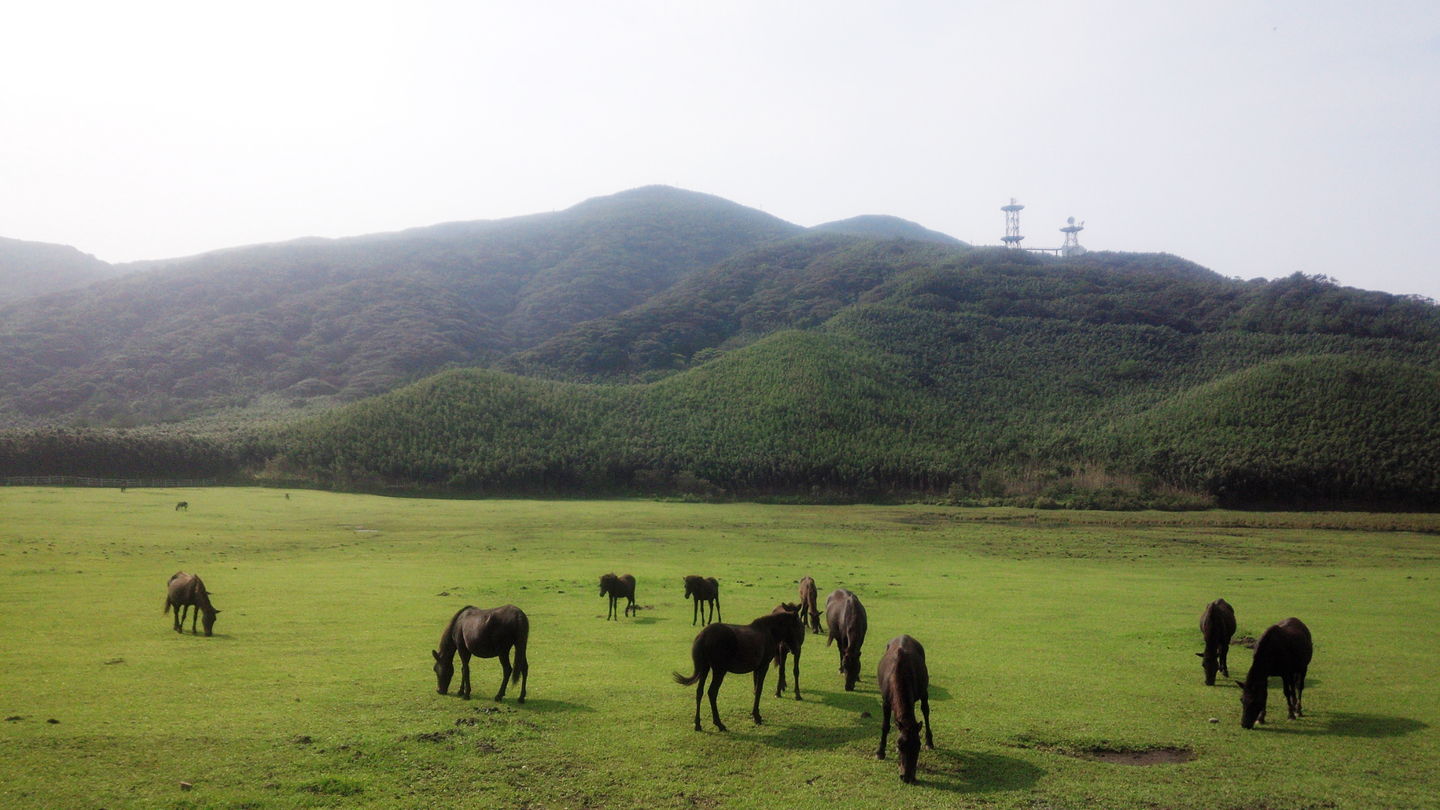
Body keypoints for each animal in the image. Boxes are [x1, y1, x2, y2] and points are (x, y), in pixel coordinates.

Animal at [673, 608, 812, 729]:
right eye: (798, 627)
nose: (796, 649)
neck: (768, 631)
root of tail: (704, 635)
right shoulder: (763, 666)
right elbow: (759, 689)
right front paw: (757, 717)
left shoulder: (756, 668)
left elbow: (756, 689)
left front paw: (755, 714)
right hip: (719, 671)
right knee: (712, 693)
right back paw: (719, 724)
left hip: (705, 668)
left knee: (699, 692)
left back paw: (698, 724)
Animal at [869, 634, 938, 778]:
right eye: (901, 745)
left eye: (917, 746)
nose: (907, 776)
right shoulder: (886, 701)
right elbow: (885, 726)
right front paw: (880, 752)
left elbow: (925, 711)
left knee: (925, 710)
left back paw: (929, 742)